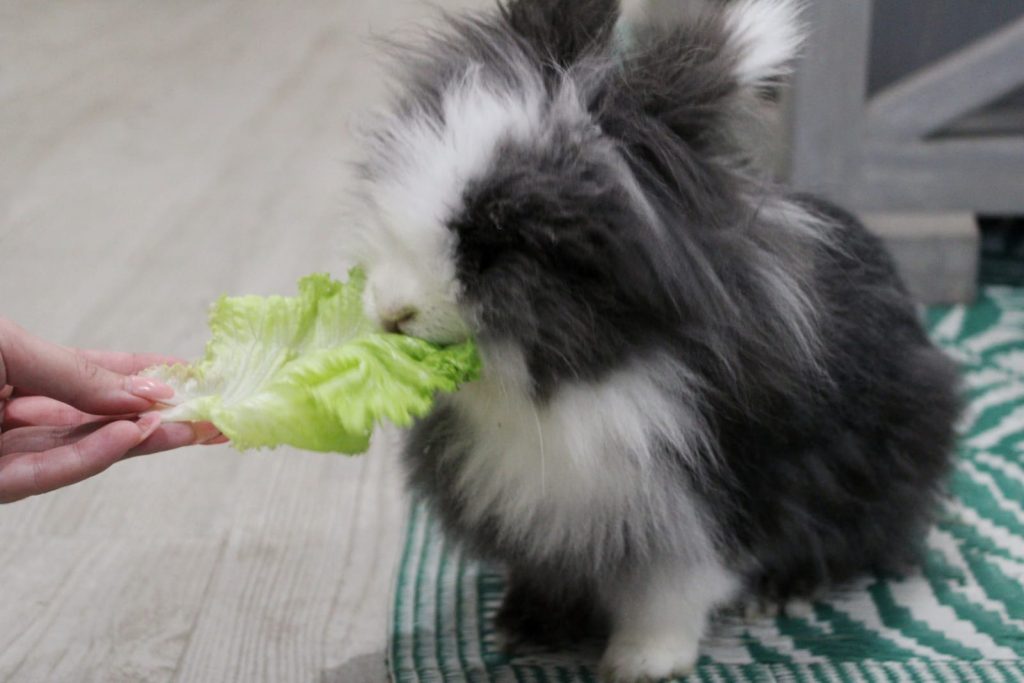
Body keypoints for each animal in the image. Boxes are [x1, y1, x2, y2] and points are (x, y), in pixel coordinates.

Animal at [347, 0, 962, 680]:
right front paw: (522, 630)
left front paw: (641, 663)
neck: (573, 387)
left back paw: (781, 594)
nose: (391, 311)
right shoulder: (539, 520)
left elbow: (672, 595)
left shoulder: (704, 506)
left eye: (500, 245)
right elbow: (548, 576)